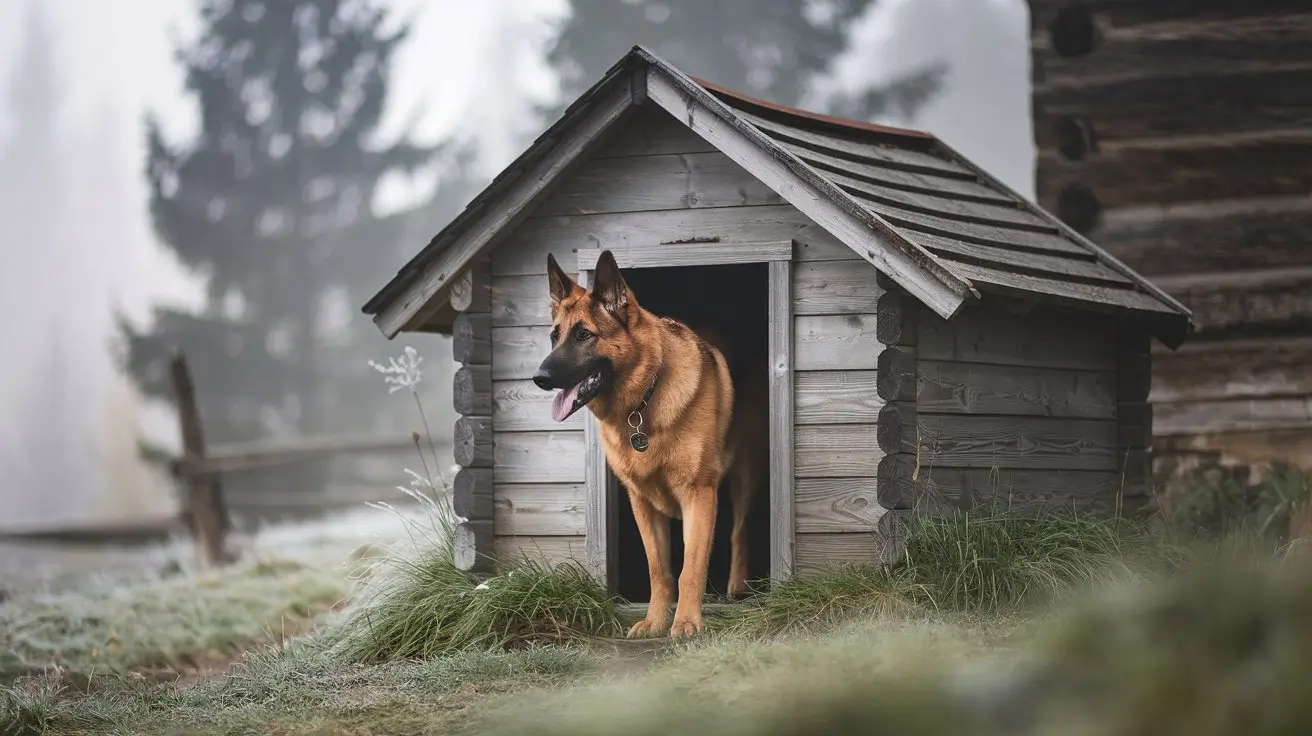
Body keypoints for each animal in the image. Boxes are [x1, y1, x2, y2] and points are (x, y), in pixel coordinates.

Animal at [532, 247, 766, 637]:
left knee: (739, 532)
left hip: (744, 479)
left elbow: (690, 568)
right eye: (555, 336)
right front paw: (656, 621)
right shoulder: (641, 503)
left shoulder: (698, 495)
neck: (642, 402)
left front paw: (686, 622)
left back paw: (737, 588)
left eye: (583, 335)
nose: (539, 377)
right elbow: (659, 569)